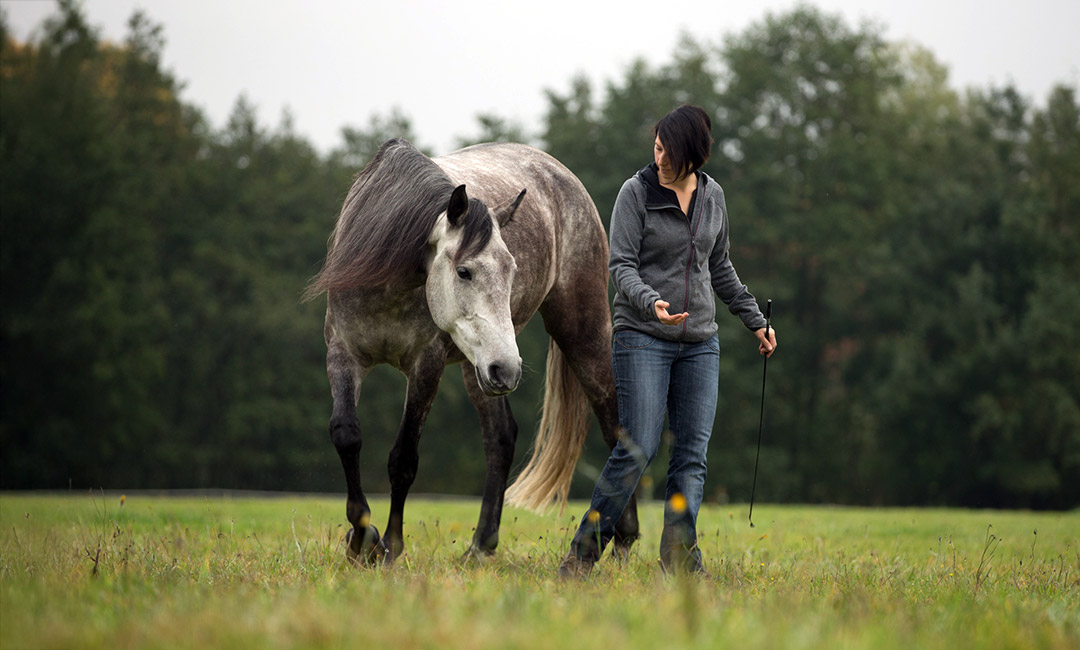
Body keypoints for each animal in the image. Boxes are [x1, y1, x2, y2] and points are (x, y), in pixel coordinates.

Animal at [304, 137, 639, 561]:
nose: (510, 369)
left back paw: (622, 540)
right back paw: (481, 545)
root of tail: (557, 171)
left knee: (614, 425)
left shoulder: (425, 366)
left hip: (576, 332)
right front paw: (362, 539)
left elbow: (403, 459)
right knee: (501, 437)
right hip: (480, 366)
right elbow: (346, 434)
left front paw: (391, 547)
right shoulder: (343, 354)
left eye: (512, 270)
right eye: (464, 271)